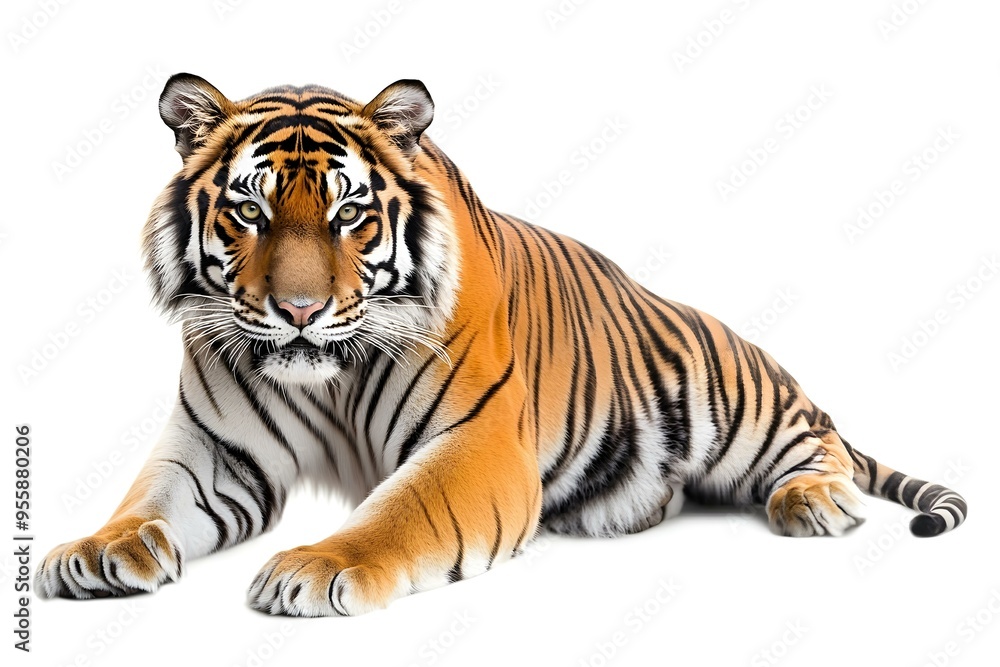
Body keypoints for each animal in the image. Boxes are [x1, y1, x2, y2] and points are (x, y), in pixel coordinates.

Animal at [36, 74, 968, 616]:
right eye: (250, 211)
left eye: (349, 213)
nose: (298, 310)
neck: (327, 374)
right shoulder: (217, 447)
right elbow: (150, 499)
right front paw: (96, 550)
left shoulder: (476, 442)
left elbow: (396, 512)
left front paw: (313, 564)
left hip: (737, 398)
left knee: (819, 445)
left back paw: (815, 500)